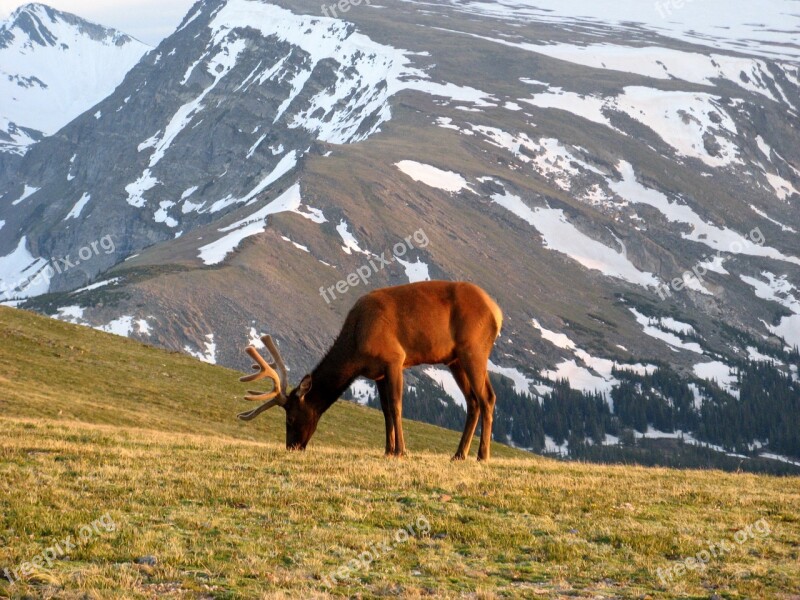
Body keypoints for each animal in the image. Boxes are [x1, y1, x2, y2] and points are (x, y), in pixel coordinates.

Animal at [234, 280, 504, 460]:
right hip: (455, 359)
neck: (356, 347)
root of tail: (497, 312)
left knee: (488, 397)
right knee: (473, 401)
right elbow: (385, 411)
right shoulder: (378, 373)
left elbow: (396, 406)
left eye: (290, 418)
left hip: (473, 350)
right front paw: (388, 450)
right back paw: (459, 454)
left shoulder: (394, 359)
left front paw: (401, 451)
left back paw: (482, 456)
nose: (291, 446)